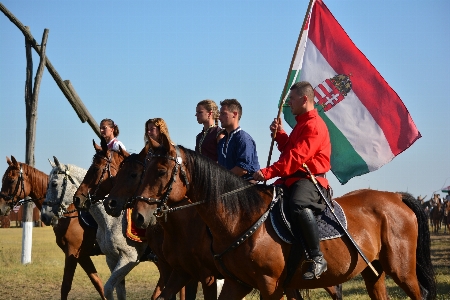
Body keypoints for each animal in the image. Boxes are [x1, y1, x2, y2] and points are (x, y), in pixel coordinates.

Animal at [0, 156, 106, 298]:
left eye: (11, 180)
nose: (0, 207)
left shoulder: (72, 252)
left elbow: (65, 286)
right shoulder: (82, 255)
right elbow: (98, 283)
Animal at [132, 140, 434, 300]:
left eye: (161, 171)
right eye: (142, 170)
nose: (137, 215)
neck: (241, 218)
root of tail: (396, 197)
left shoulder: (270, 286)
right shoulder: (235, 283)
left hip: (402, 271)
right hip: (374, 272)